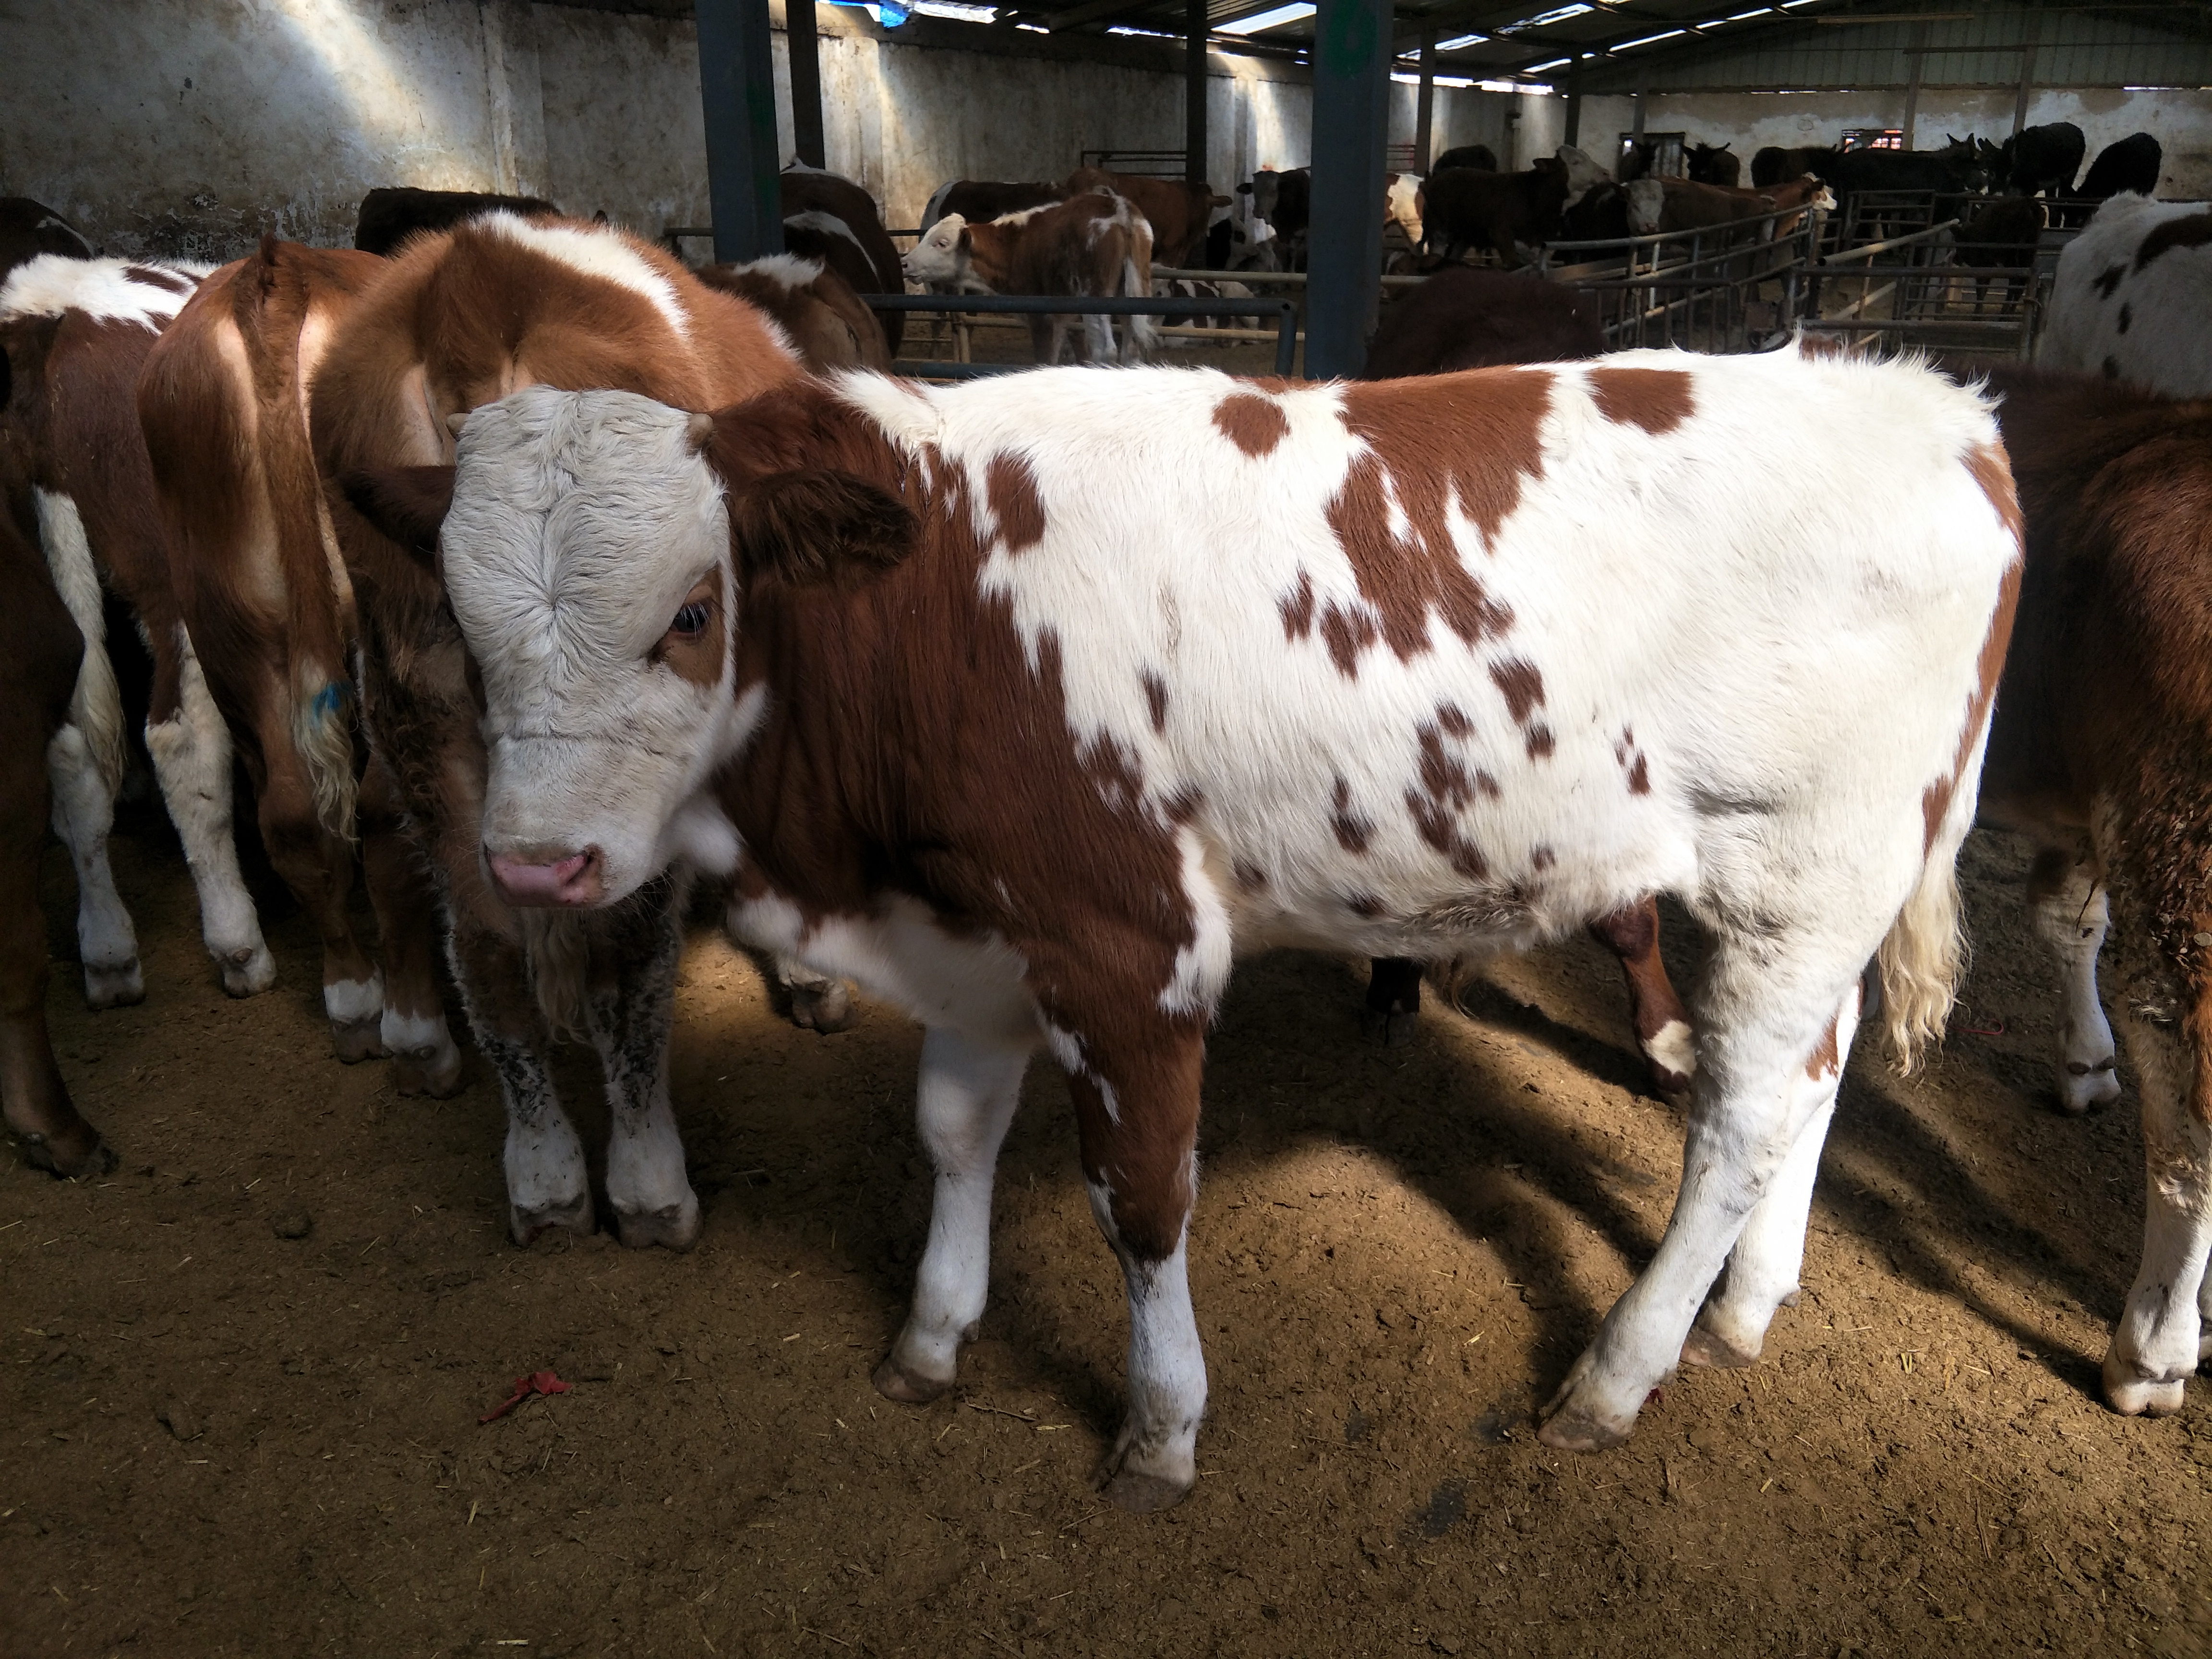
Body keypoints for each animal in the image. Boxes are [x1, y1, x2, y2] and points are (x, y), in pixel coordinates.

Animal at [354, 347, 2026, 1504]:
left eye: (694, 615)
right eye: (466, 642)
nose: (537, 866)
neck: (939, 603)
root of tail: (1938, 407)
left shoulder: (1128, 946)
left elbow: (1142, 1200)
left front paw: (1161, 1427)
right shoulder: (978, 941)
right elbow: (952, 1135)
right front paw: (933, 1338)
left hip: (1798, 868)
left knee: (1741, 1118)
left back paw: (1623, 1369)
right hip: (1828, 897)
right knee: (1814, 1076)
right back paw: (1750, 1303)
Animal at [898, 193, 1159, 365]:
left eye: (942, 243)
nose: (906, 263)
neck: (1016, 246)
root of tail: (1119, 210)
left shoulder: (1041, 317)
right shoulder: (1062, 318)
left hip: (1095, 296)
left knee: (1106, 350)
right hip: (1131, 294)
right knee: (1132, 349)